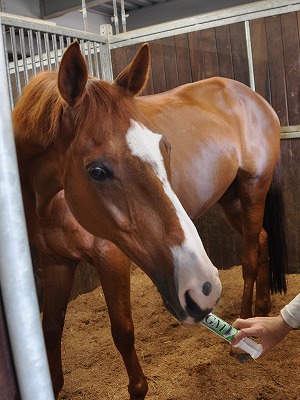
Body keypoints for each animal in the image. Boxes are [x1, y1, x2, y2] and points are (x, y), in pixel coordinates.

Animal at [12, 42, 288, 398]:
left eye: (164, 148)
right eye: (97, 171)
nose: (203, 288)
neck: (50, 201)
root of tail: (254, 98)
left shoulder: (111, 257)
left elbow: (122, 330)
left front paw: (139, 387)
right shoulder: (56, 260)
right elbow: (51, 327)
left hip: (254, 188)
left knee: (250, 257)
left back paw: (241, 338)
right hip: (231, 199)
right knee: (263, 239)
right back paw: (262, 309)